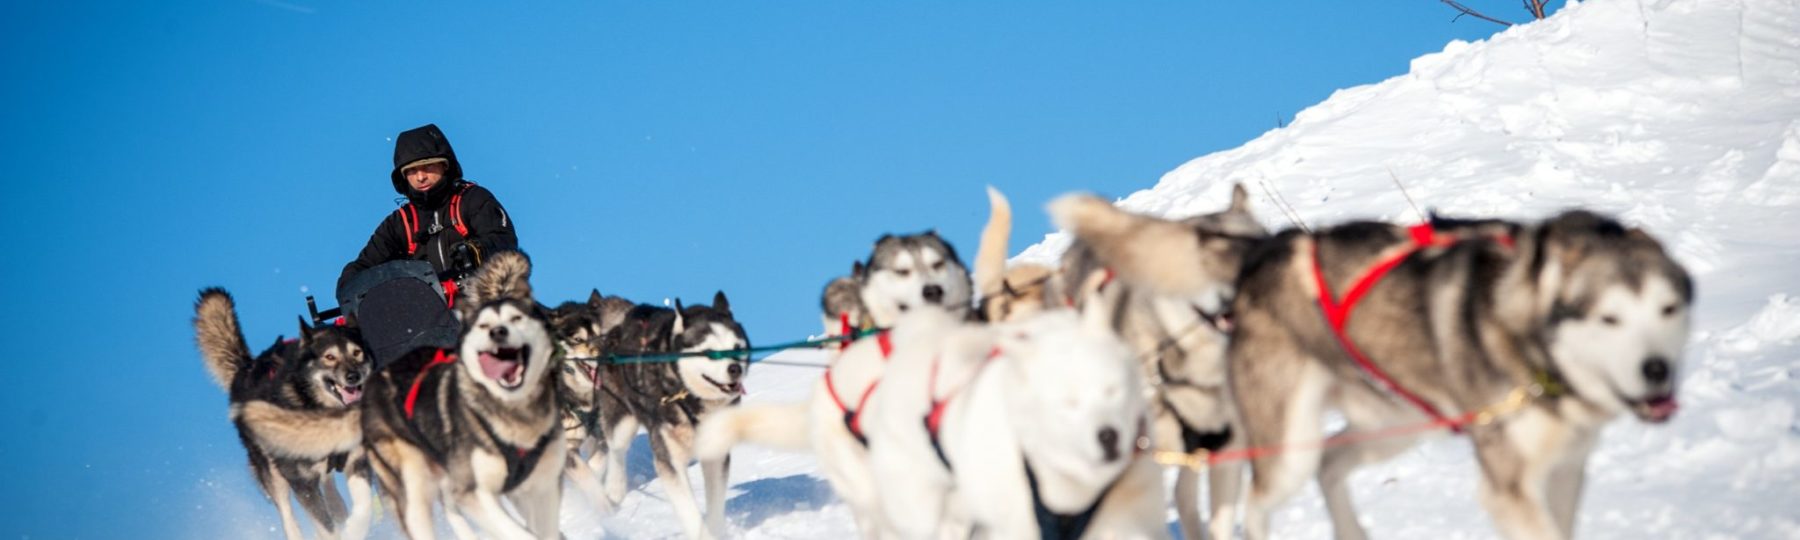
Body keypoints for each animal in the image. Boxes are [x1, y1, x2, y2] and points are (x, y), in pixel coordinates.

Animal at [195, 291, 374, 540]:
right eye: (329, 357)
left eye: (357, 352)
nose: (353, 376)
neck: (312, 403)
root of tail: (246, 368)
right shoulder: (300, 482)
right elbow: (325, 528)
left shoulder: (357, 458)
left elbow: (364, 506)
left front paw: (354, 527)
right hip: (271, 472)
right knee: (289, 518)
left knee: (327, 484)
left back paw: (337, 506)